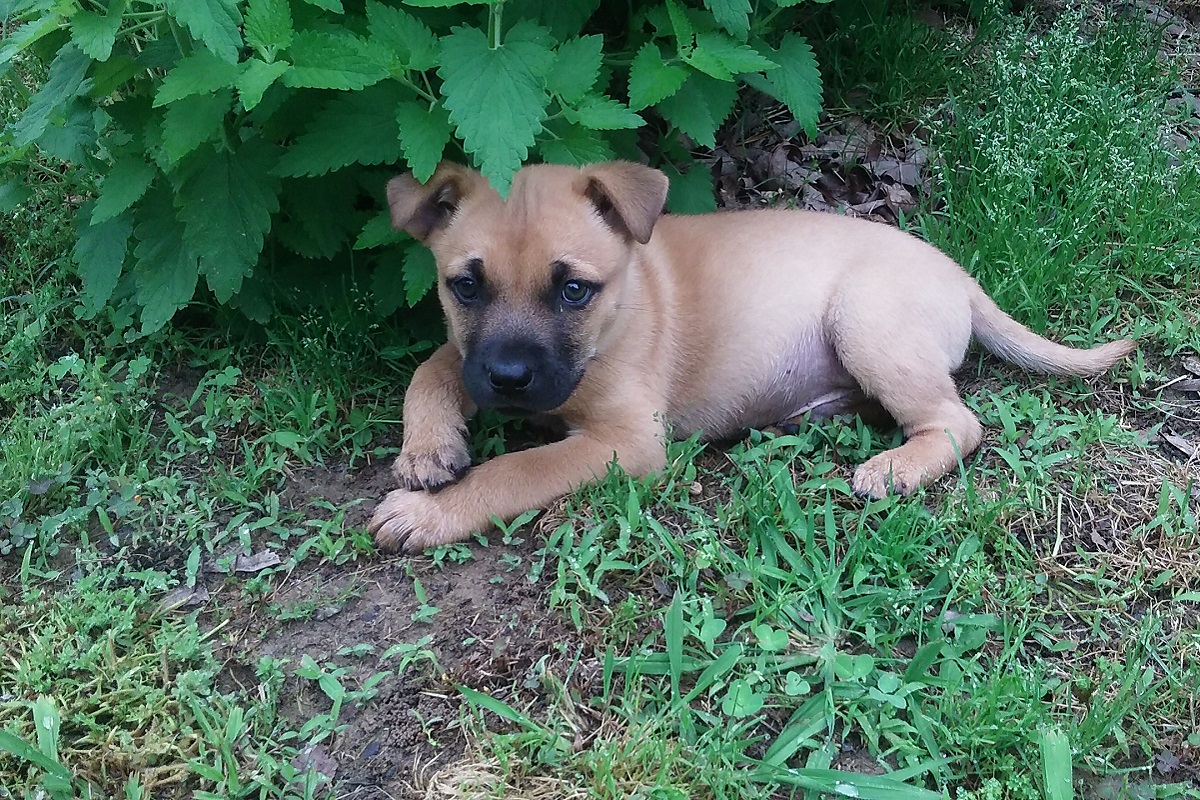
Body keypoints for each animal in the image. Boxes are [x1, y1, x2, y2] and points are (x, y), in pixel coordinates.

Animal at [369, 159, 1137, 554]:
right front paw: (428, 448)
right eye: (465, 286)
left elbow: (519, 469)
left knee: (958, 421)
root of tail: (960, 277)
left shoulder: (628, 443)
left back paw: (893, 469)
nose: (507, 380)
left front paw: (431, 514)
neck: (622, 308)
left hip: (866, 320)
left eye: (574, 290)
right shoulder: (469, 350)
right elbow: (435, 364)